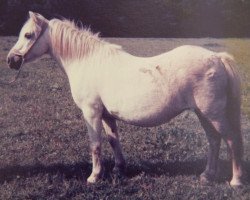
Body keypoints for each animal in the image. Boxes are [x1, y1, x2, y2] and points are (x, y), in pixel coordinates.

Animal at [6, 11, 244, 185]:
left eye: (28, 35)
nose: (11, 60)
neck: (88, 62)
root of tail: (217, 58)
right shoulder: (106, 115)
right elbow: (113, 141)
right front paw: (119, 170)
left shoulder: (91, 113)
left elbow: (95, 144)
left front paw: (94, 176)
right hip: (203, 114)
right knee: (214, 141)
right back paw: (207, 176)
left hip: (213, 114)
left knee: (231, 140)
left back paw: (236, 181)